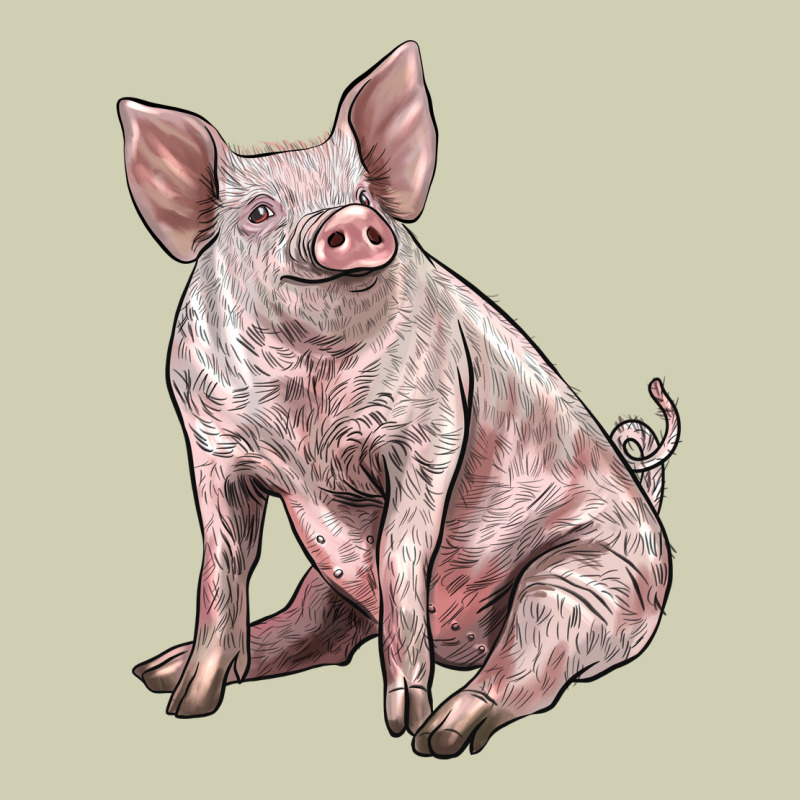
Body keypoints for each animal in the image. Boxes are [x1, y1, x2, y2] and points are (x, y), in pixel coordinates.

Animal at [119, 41, 680, 758]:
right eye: (260, 213)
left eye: (363, 196)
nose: (354, 222)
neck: (304, 388)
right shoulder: (211, 447)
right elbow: (222, 567)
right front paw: (188, 705)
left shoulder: (430, 430)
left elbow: (400, 558)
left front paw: (402, 723)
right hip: (329, 582)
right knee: (316, 624)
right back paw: (158, 669)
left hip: (588, 582)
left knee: (530, 661)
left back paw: (441, 734)